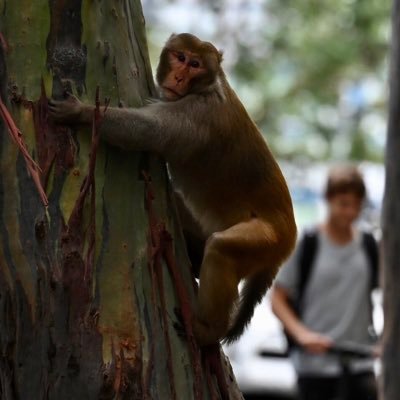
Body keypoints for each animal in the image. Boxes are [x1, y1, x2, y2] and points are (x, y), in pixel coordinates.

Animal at [48, 33, 296, 346]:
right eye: (180, 57)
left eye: (195, 65)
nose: (178, 76)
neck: (208, 86)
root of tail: (289, 237)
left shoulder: (195, 116)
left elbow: (147, 130)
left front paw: (82, 113)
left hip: (268, 241)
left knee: (222, 248)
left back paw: (207, 331)